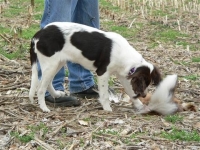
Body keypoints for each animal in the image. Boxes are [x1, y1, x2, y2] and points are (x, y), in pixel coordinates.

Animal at [28, 22, 162, 112]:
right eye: (144, 83)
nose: (144, 95)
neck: (125, 55)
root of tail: (38, 34)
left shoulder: (124, 76)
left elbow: (130, 92)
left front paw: (140, 106)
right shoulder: (103, 73)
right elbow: (104, 94)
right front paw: (107, 108)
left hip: (57, 63)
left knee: (47, 82)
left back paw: (56, 95)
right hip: (50, 64)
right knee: (40, 88)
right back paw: (44, 108)